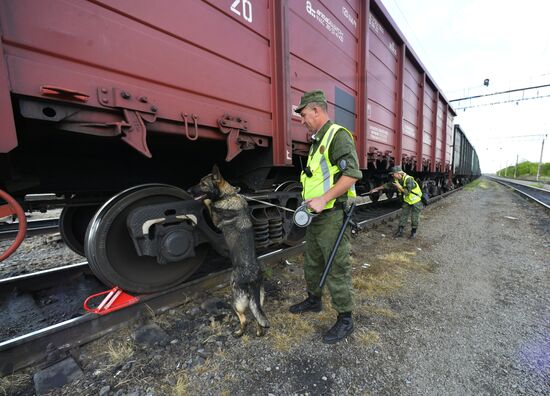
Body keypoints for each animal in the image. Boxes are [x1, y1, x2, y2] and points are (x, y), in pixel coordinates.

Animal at [191, 166, 270, 336]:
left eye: (202, 184)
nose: (188, 190)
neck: (229, 195)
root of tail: (251, 280)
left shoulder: (215, 218)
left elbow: (209, 202)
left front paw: (206, 201)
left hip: (236, 301)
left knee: (244, 319)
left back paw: (239, 333)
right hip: (258, 300)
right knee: (258, 316)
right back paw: (259, 332)